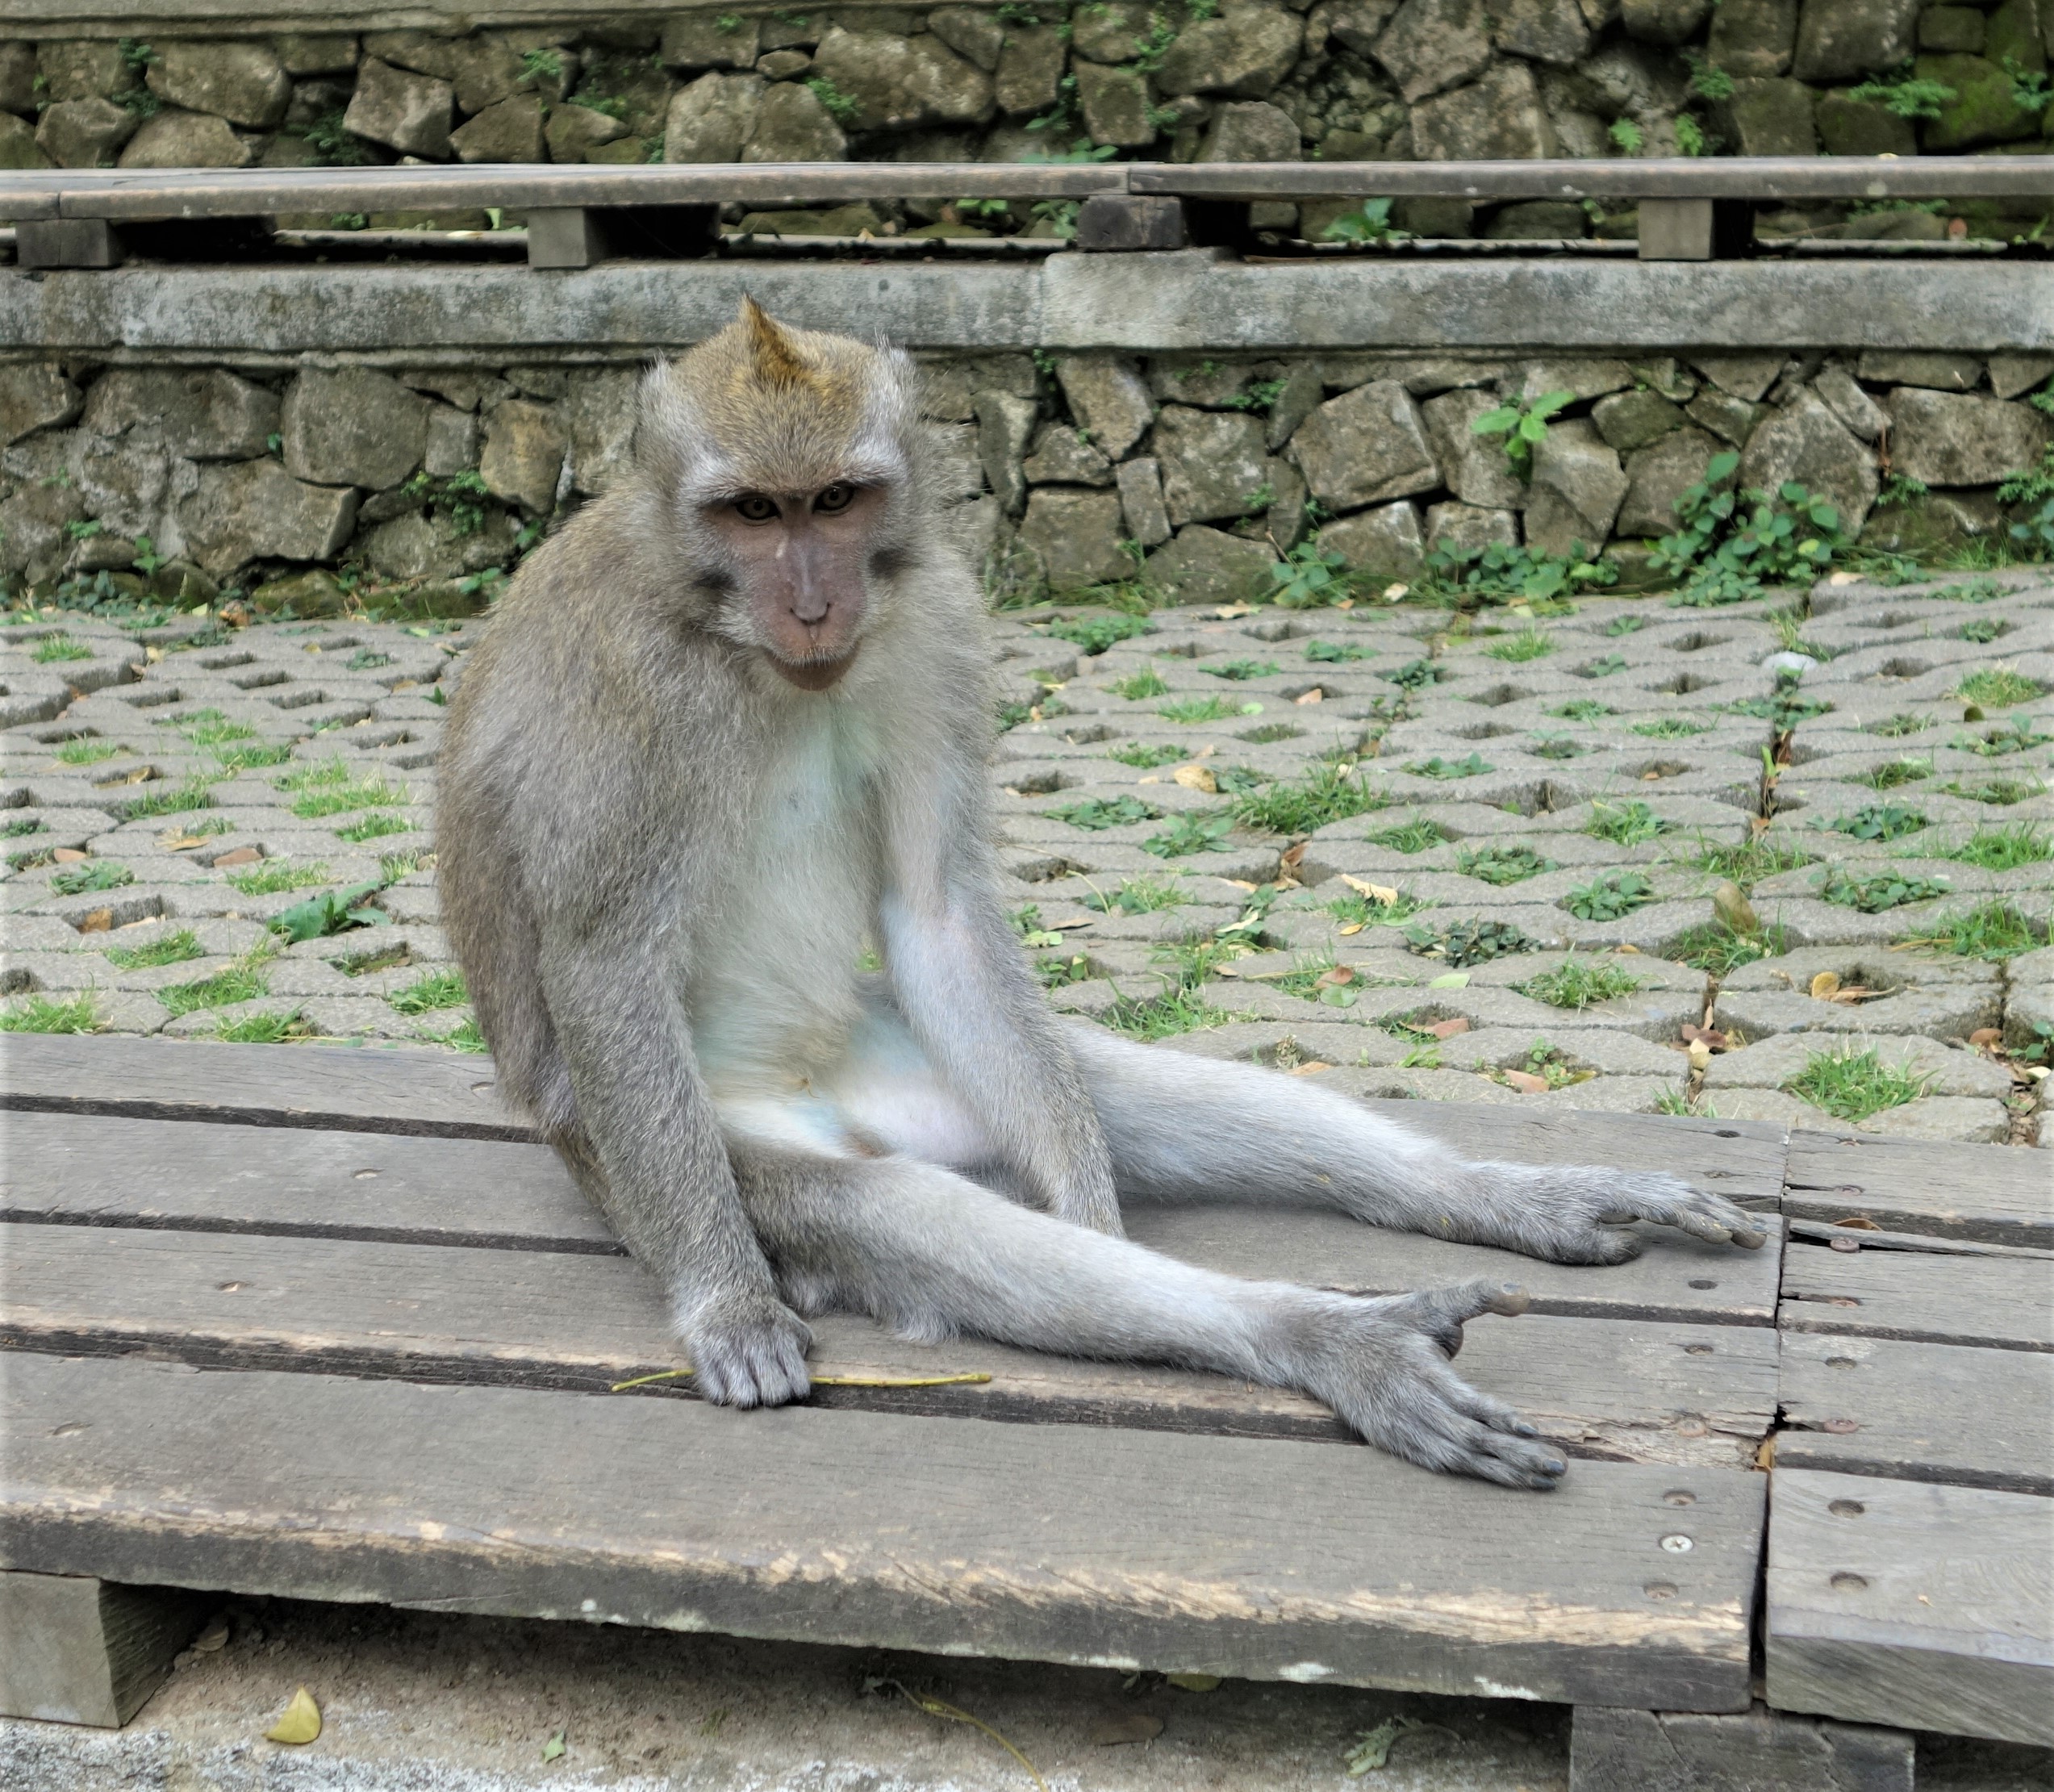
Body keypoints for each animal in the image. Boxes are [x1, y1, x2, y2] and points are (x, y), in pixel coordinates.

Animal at [436, 300, 1766, 1491]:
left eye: (836, 501)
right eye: (752, 512)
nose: (812, 599)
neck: (740, 643)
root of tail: (833, 1101)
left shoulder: (936, 618)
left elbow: (938, 909)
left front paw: (1092, 1210)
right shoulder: (620, 692)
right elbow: (604, 961)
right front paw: (727, 1307)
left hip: (925, 1063)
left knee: (1112, 1088)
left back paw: (1500, 1200)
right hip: (685, 1148)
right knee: (895, 1209)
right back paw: (1336, 1340)